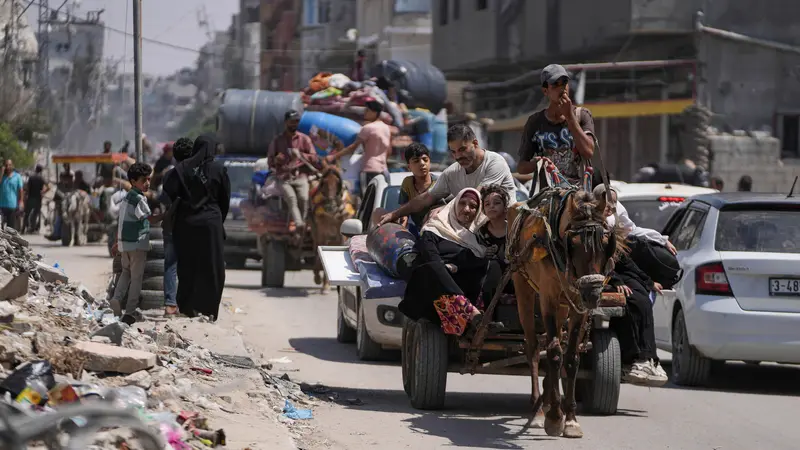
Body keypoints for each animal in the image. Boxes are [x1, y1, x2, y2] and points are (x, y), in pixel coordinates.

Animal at [506, 187, 624, 440]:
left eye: (606, 242)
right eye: (575, 243)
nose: (593, 294)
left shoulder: (577, 305)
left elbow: (570, 358)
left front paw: (570, 419)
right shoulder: (548, 298)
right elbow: (553, 353)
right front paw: (553, 418)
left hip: (563, 305)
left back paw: (549, 399)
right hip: (522, 284)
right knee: (533, 347)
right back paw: (538, 410)